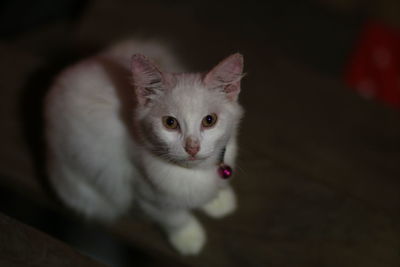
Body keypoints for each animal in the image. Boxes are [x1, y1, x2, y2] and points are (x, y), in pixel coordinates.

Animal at [44, 39, 244, 255]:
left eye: (209, 120)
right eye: (170, 123)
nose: (192, 147)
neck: (193, 172)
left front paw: (219, 200)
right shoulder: (144, 193)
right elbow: (174, 218)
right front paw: (188, 237)